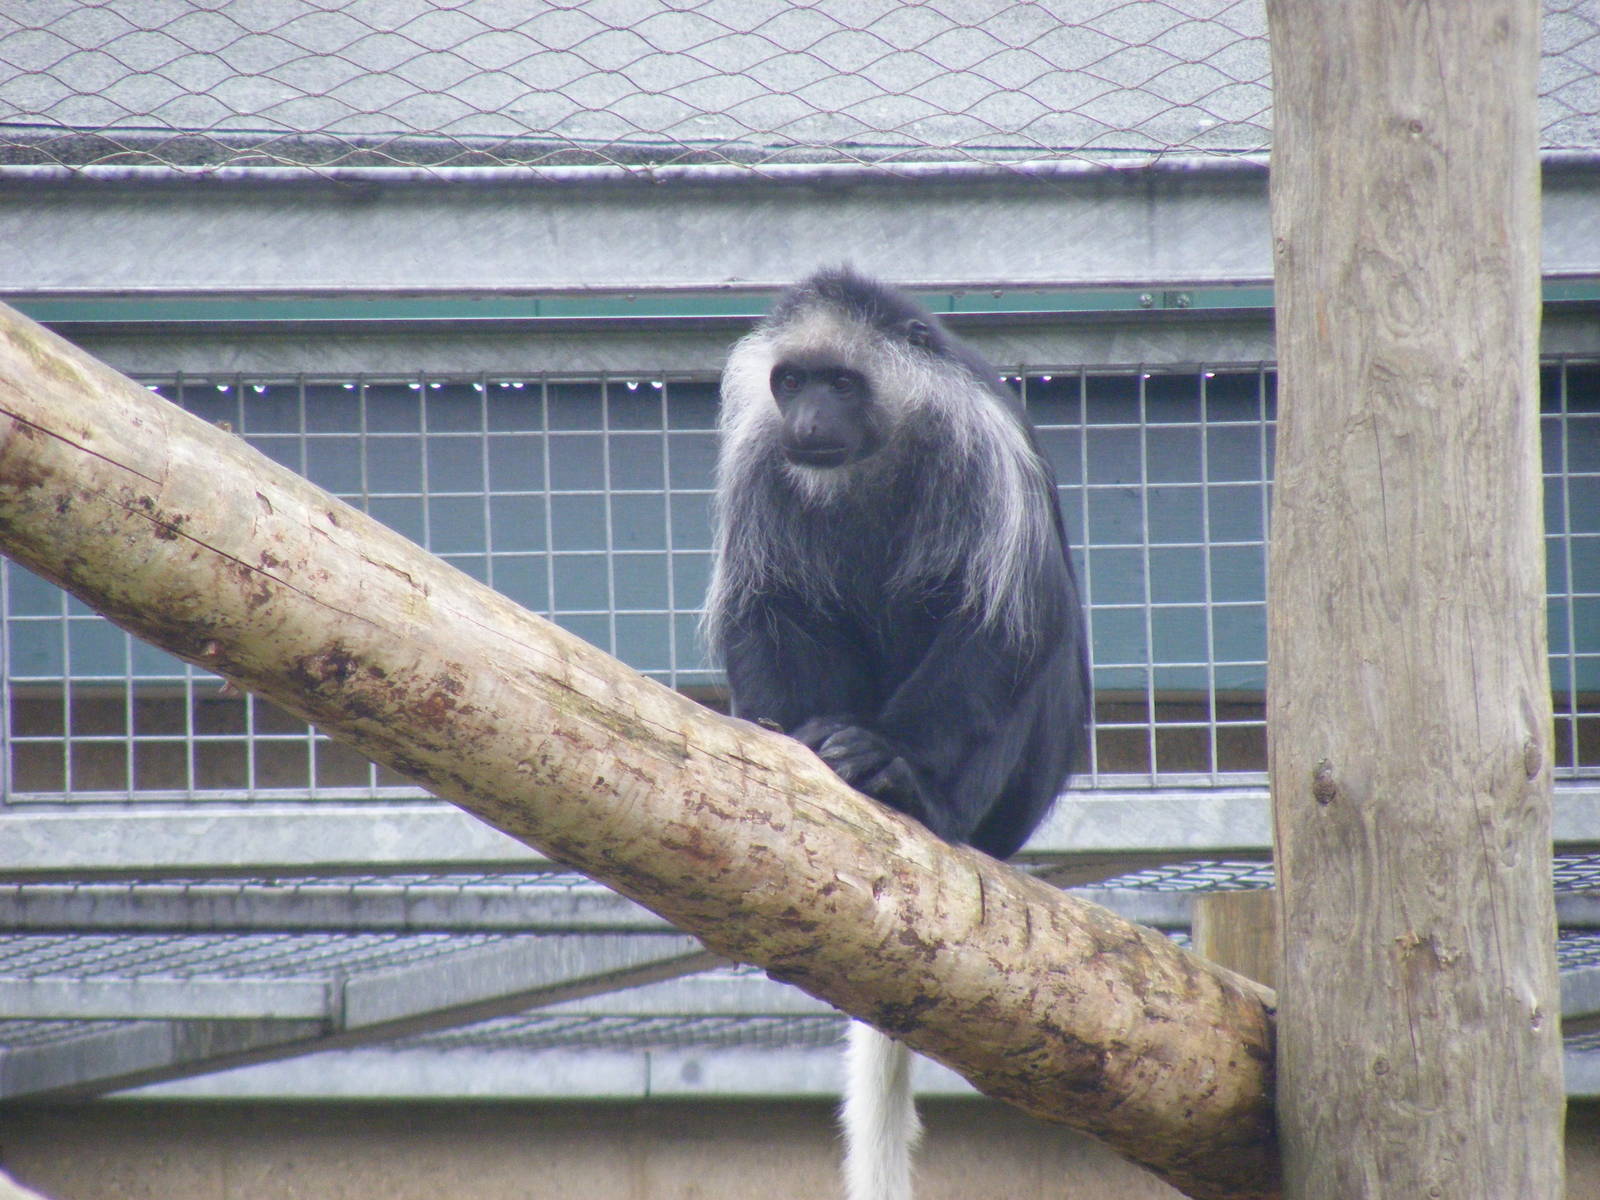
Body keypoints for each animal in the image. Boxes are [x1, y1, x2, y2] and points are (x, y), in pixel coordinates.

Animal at [704, 268, 1091, 1200]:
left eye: (842, 384)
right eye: (793, 383)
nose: (811, 421)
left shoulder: (983, 456)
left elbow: (995, 627)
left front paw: (887, 762)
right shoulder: (762, 461)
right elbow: (770, 606)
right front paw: (786, 734)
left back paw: (918, 800)